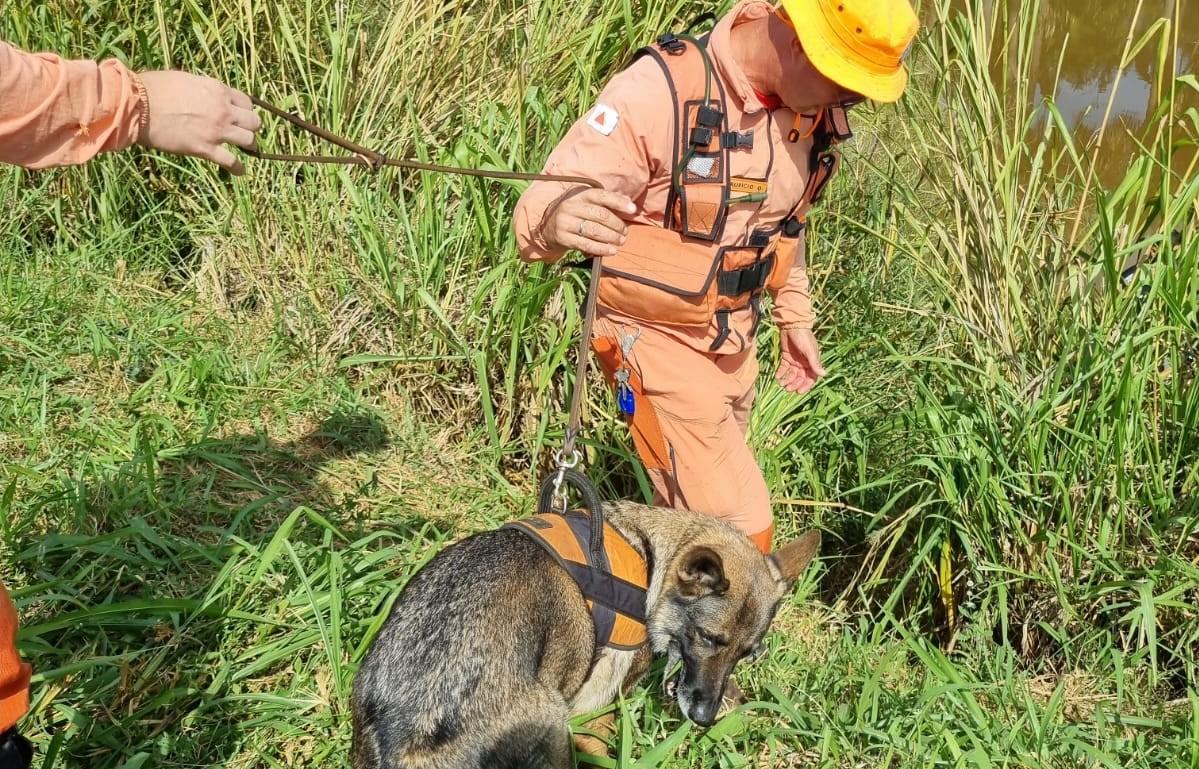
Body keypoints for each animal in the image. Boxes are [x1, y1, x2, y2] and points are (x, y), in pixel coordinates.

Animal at [350, 501, 820, 763]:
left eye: (746, 653)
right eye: (708, 638)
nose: (703, 719)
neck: (652, 559)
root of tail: (406, 736)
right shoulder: (592, 714)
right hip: (555, 724)